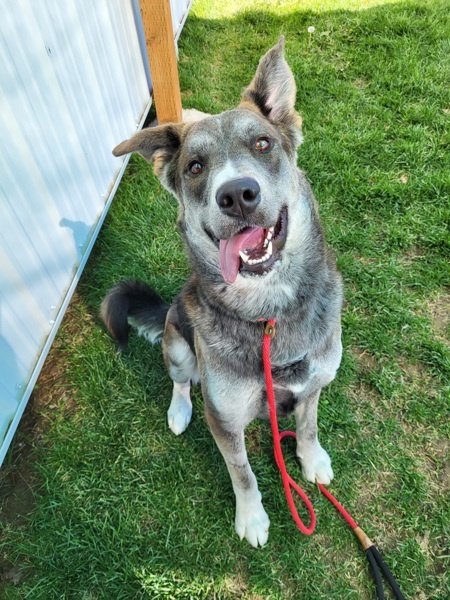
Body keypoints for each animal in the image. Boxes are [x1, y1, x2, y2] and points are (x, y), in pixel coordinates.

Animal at [101, 35, 342, 548]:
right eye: (195, 167)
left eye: (263, 143)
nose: (237, 195)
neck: (268, 313)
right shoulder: (225, 419)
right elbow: (243, 472)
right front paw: (251, 517)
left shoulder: (314, 383)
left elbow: (309, 426)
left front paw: (312, 460)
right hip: (177, 341)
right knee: (179, 379)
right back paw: (178, 411)